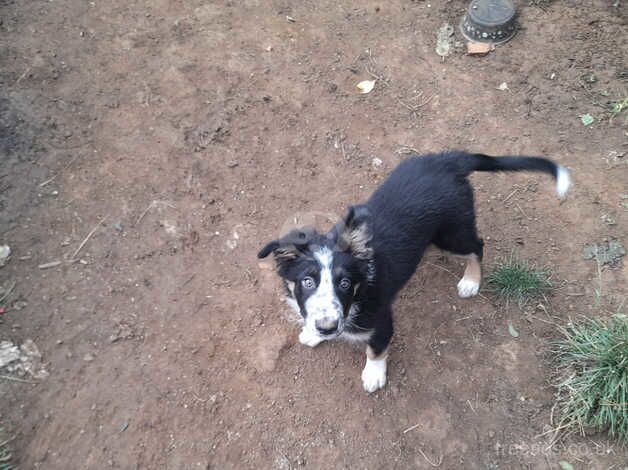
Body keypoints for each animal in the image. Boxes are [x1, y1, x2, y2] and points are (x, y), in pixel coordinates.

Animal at [258, 151, 572, 392]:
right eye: (307, 282)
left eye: (345, 283)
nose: (326, 328)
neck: (359, 294)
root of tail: (449, 160)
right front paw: (313, 334)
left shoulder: (382, 319)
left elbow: (375, 349)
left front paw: (373, 375)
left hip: (450, 234)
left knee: (478, 246)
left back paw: (471, 281)